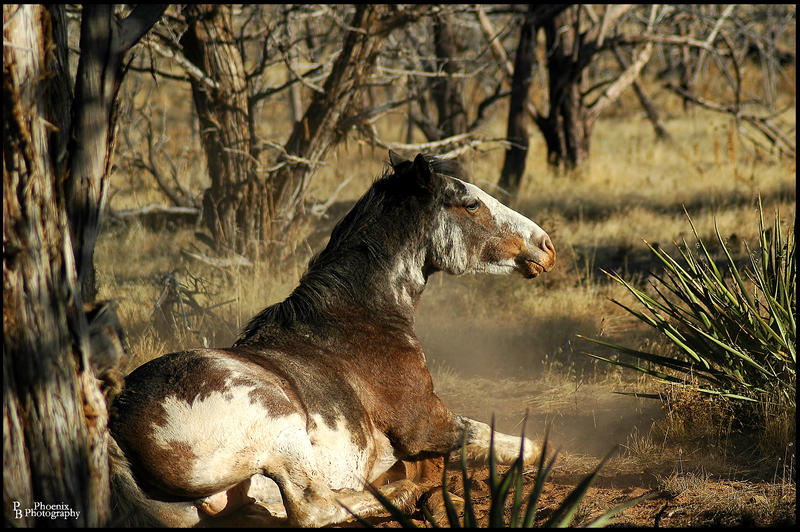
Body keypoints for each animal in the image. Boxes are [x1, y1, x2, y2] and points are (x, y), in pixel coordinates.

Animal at [108, 152, 556, 524]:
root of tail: (118, 425)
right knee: (313, 508)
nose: (546, 246)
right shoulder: (429, 426)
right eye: (471, 204)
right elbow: (524, 445)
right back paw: (402, 494)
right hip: (280, 430)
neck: (360, 322)